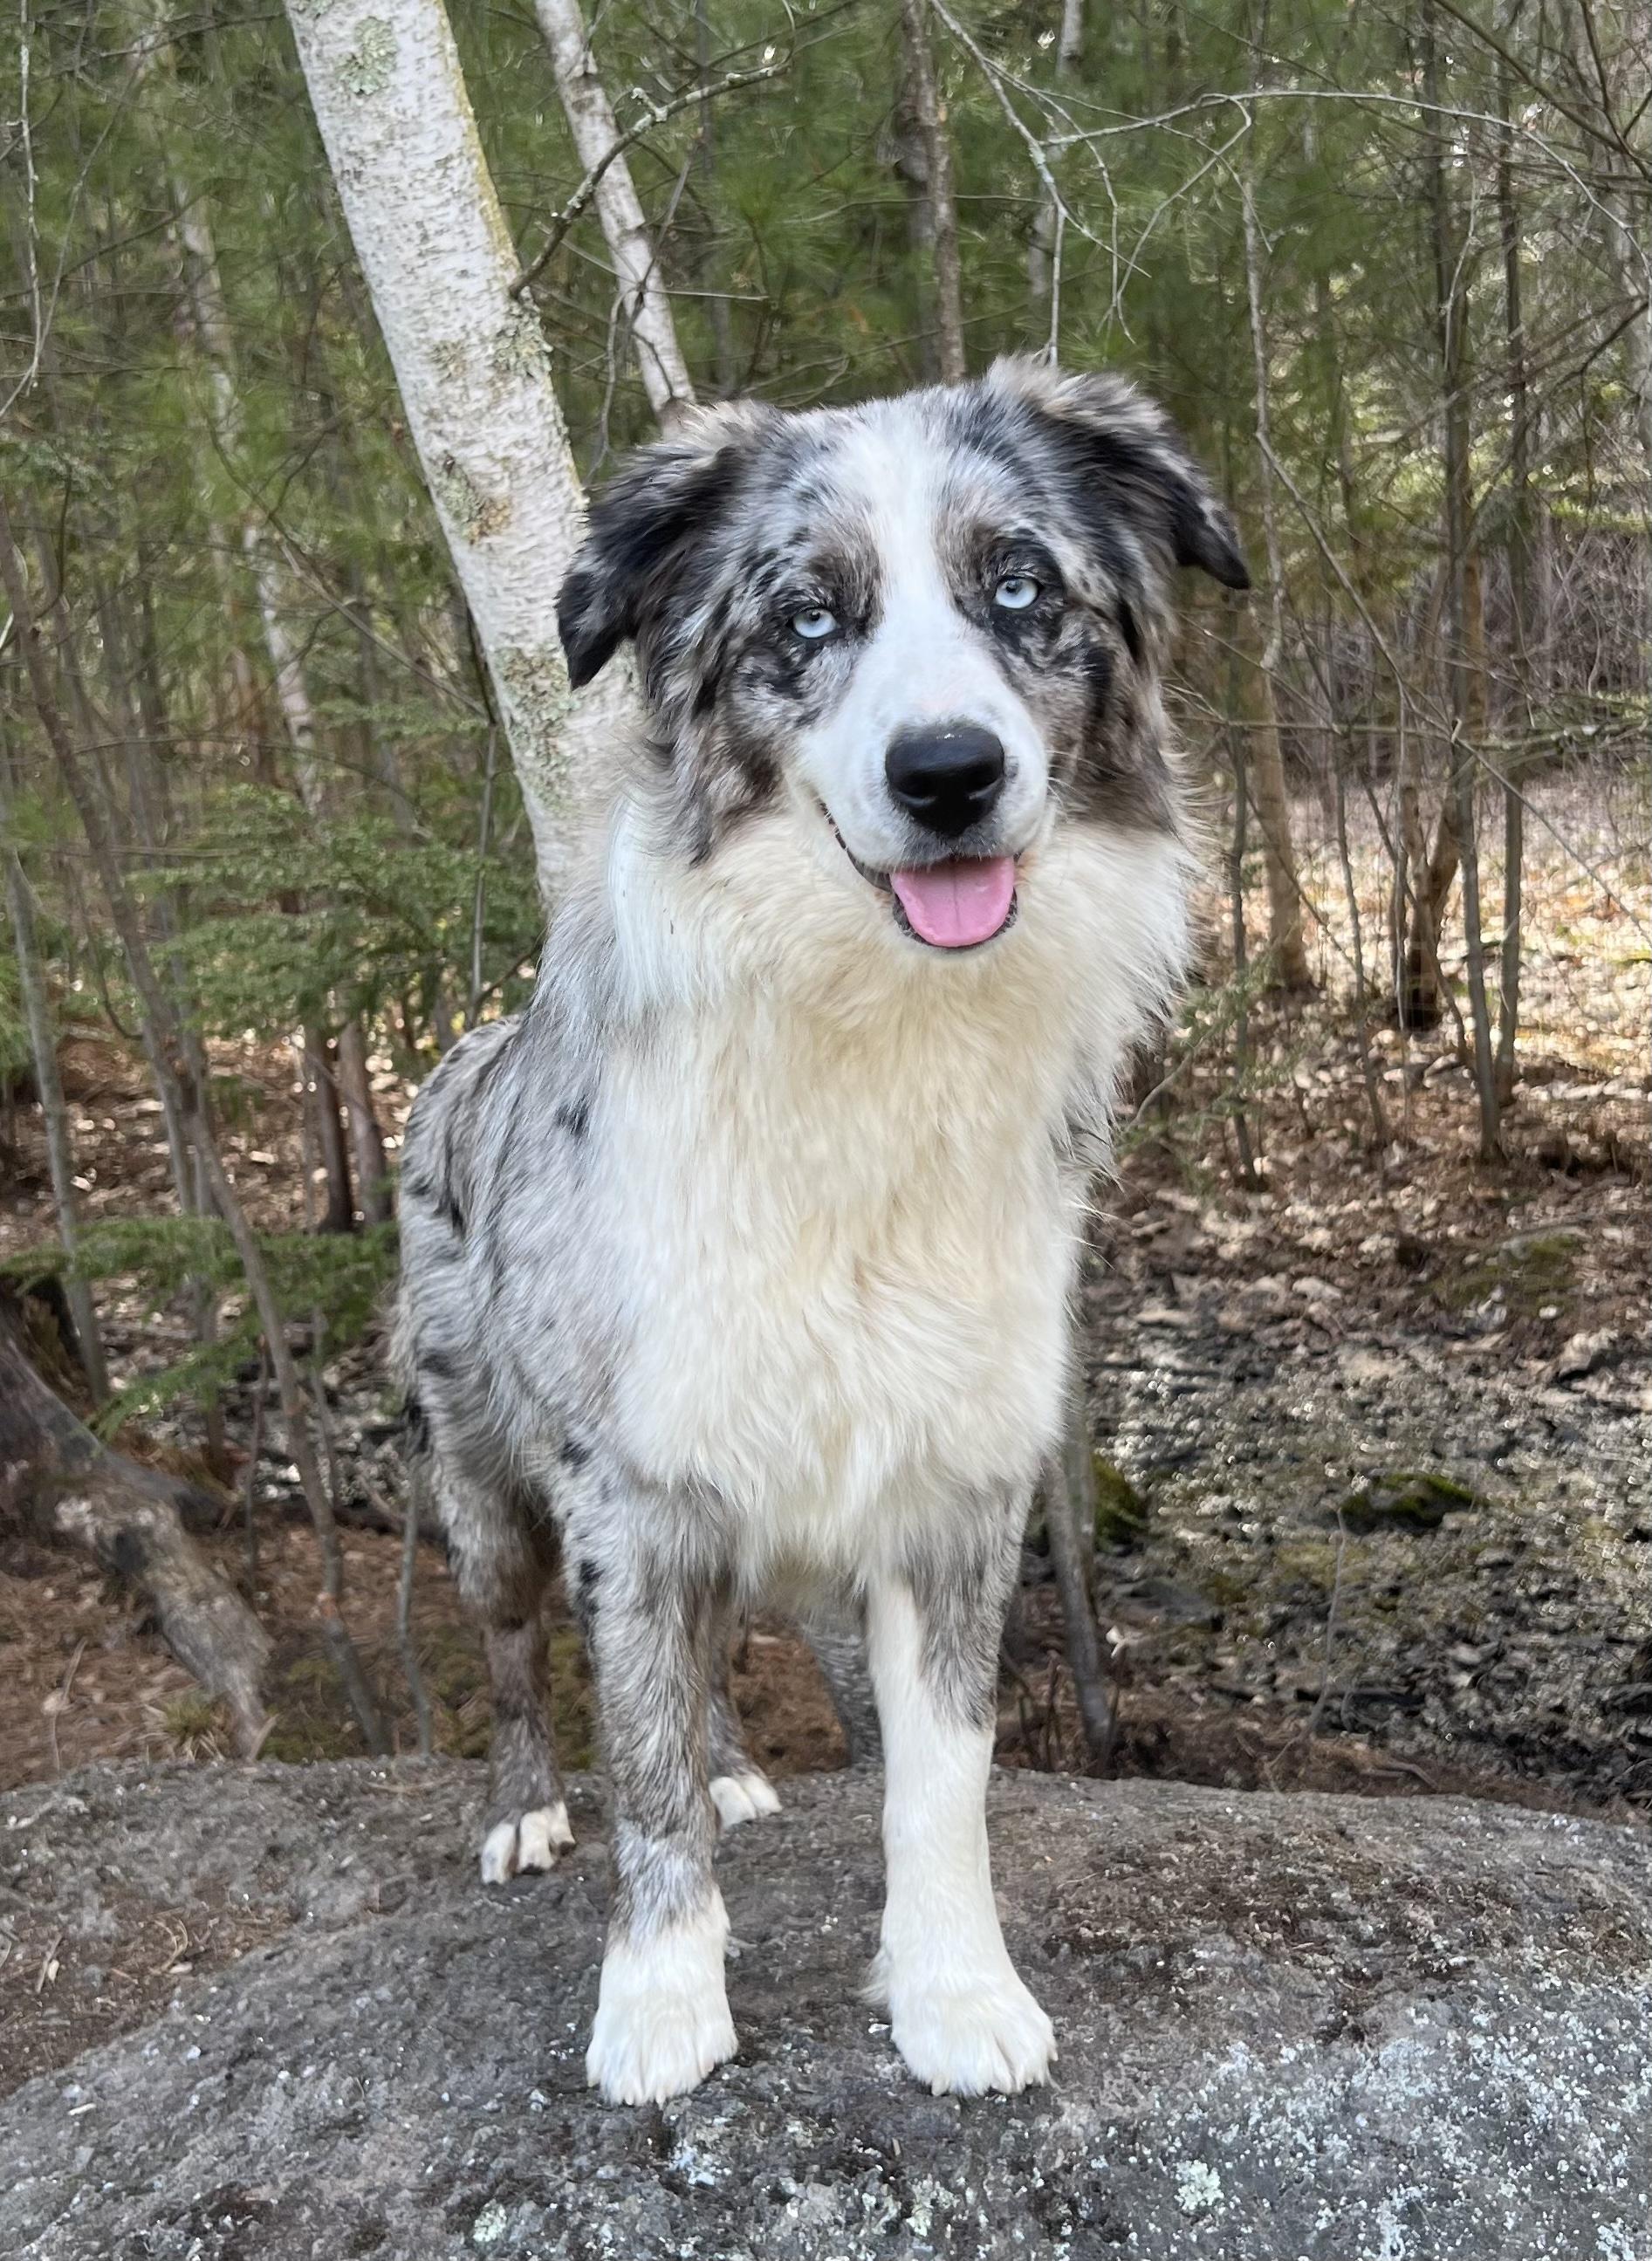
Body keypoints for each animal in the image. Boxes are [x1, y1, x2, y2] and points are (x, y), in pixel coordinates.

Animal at [395, 355, 1247, 2105]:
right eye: (803, 616)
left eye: (1019, 587)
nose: (948, 773)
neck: (877, 1025)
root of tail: (451, 1053)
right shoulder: (636, 1479)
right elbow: (640, 1761)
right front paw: (660, 2001)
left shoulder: (950, 1491)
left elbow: (941, 1785)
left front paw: (954, 1994)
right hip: (486, 1488)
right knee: (520, 1655)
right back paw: (523, 1808)